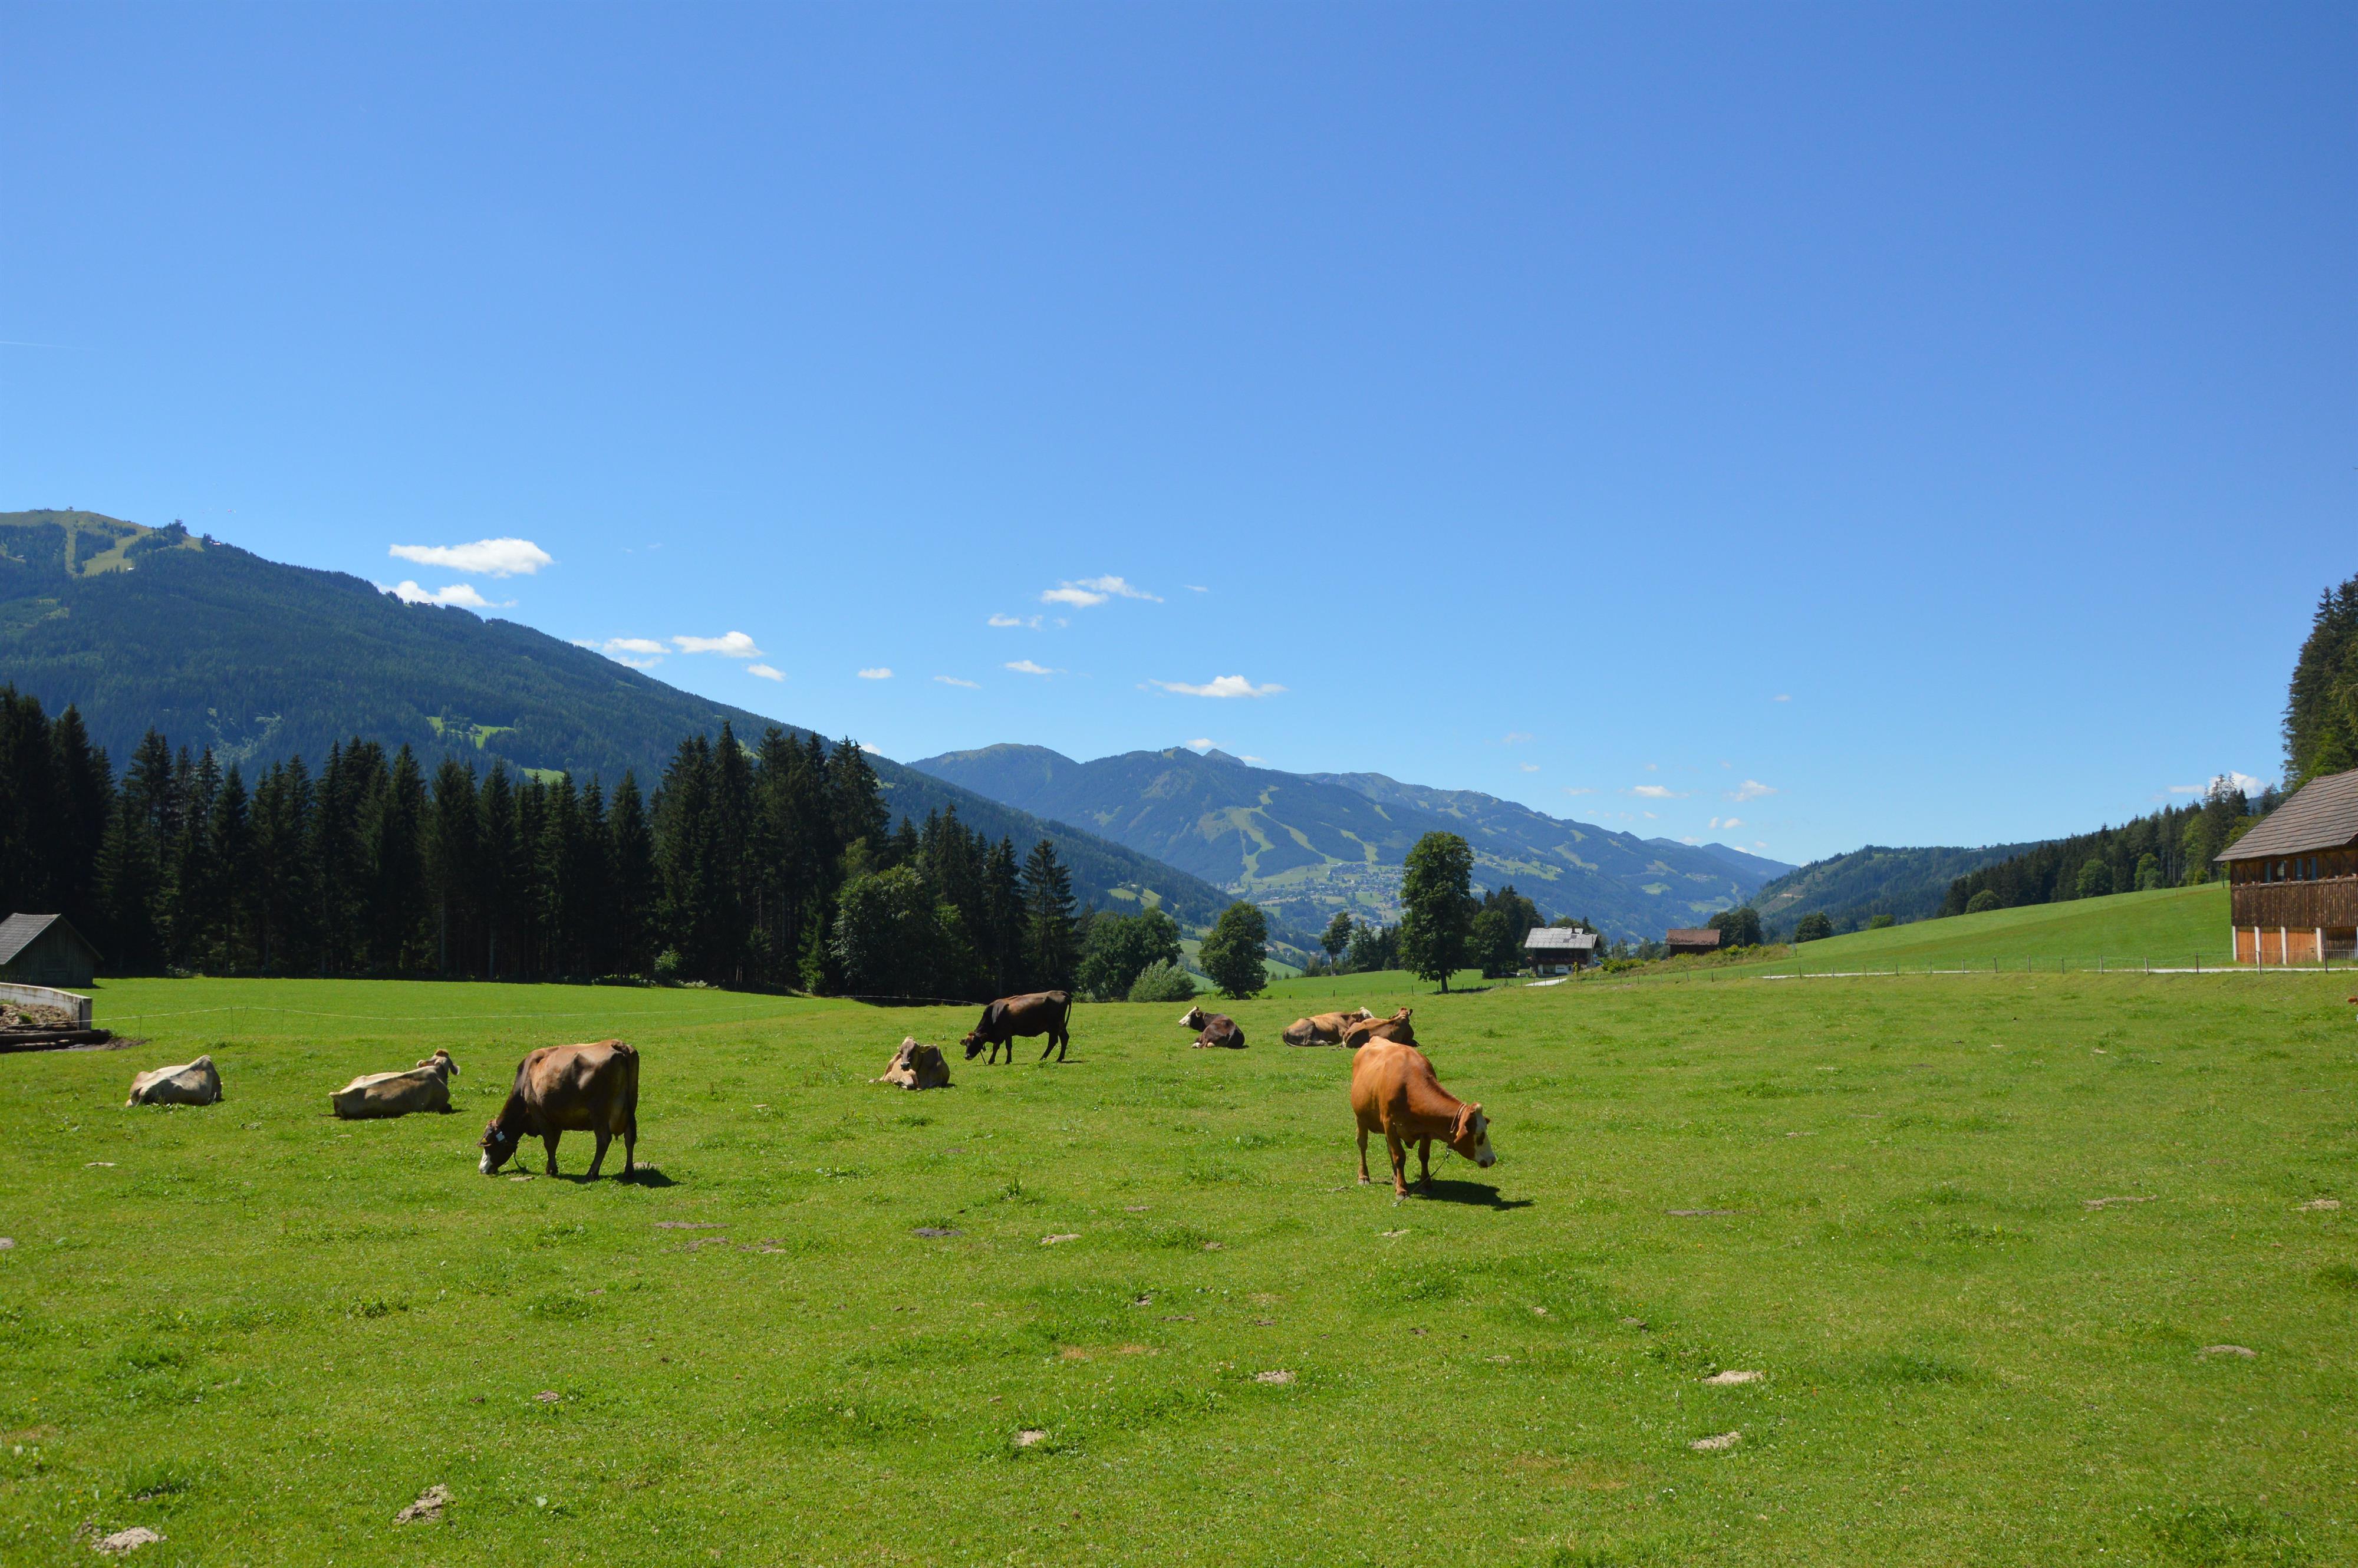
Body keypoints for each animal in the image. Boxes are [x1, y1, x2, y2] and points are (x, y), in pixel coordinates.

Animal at [479, 1040, 640, 1179]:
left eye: (488, 1145)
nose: (482, 1169)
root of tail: (616, 1044)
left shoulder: (539, 1114)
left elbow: (549, 1142)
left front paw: (551, 1170)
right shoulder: (556, 1118)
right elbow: (555, 1142)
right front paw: (550, 1167)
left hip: (599, 1112)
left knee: (603, 1140)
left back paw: (592, 1173)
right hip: (629, 1108)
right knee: (629, 1137)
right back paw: (629, 1171)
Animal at [874, 1037, 952, 1090]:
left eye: (914, 1050)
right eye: (901, 1051)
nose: (904, 1065)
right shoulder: (905, 1076)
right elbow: (910, 1085)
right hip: (891, 1062)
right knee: (882, 1078)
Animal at [962, 991, 1073, 1064]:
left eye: (975, 1043)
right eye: (966, 1044)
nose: (966, 1056)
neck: (994, 1014)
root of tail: (1059, 992)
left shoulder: (1007, 1033)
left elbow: (1008, 1046)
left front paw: (1008, 1060)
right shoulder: (1000, 1035)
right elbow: (996, 1047)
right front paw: (991, 1060)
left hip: (1054, 1026)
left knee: (1053, 1041)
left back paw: (1043, 1058)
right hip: (1060, 1026)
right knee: (1065, 1038)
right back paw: (1060, 1058)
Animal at [1282, 1007, 1375, 1047]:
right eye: (1366, 1015)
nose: (1375, 1020)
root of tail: (1286, 1030)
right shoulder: (1343, 1032)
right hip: (1310, 1025)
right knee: (1306, 1042)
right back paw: (1324, 1042)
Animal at [1350, 1038, 1495, 1196]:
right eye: (1480, 1136)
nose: (1492, 1159)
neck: (1408, 1087)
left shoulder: (1426, 1128)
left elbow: (1424, 1156)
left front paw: (1426, 1184)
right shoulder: (1390, 1125)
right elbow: (1399, 1156)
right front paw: (1402, 1189)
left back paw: (1395, 1177)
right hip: (1360, 1118)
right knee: (1363, 1145)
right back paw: (1364, 1176)